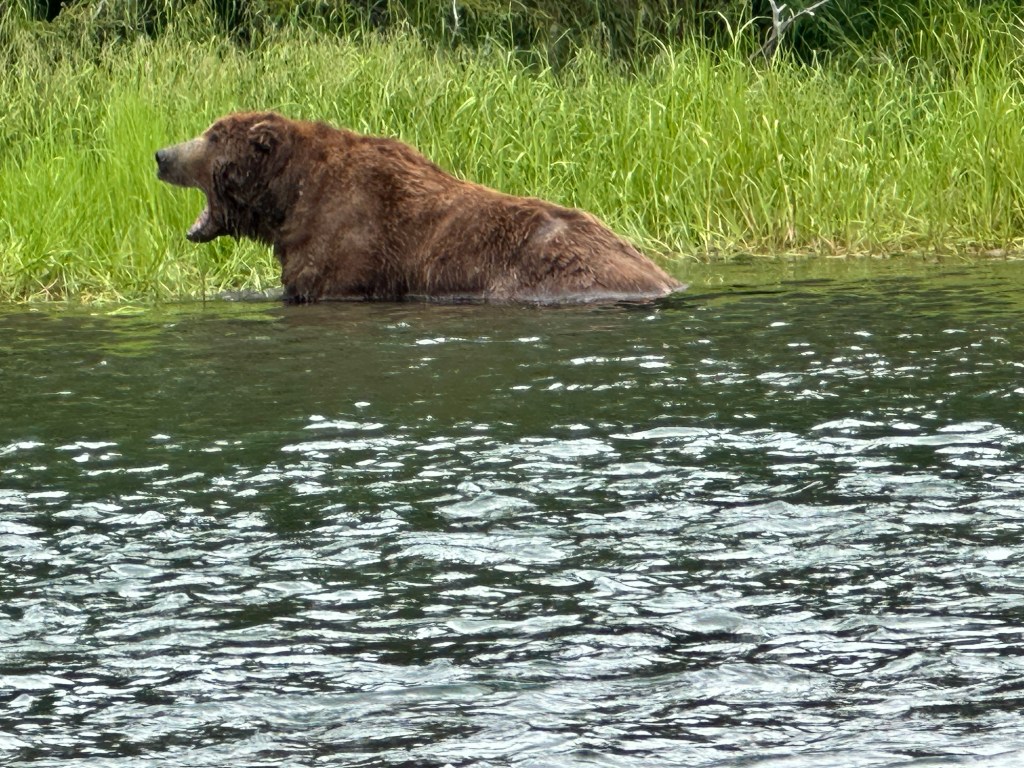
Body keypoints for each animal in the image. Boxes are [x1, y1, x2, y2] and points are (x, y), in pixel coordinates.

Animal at [156, 111, 682, 304]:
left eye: (212, 136)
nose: (162, 154)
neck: (288, 200)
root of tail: (662, 277)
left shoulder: (348, 244)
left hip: (545, 270)